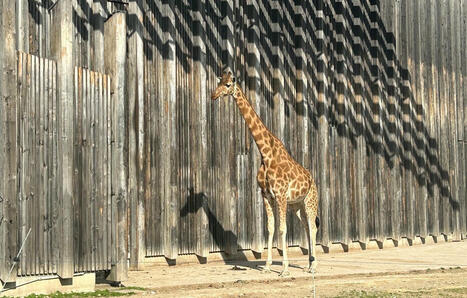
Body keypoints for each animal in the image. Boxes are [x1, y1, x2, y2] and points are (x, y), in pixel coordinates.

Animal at [213, 71, 320, 276]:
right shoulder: (266, 195)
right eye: (219, 82)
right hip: (297, 205)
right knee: (306, 227)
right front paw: (268, 266)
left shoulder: (280, 195)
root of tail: (313, 181)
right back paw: (309, 263)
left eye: (228, 84)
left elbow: (282, 229)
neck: (265, 153)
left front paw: (284, 269)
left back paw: (313, 267)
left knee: (312, 227)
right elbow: (270, 228)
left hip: (310, 202)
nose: (213, 95)